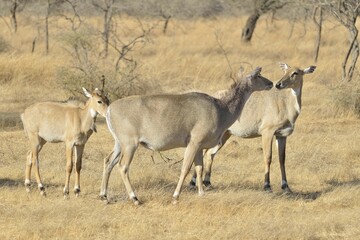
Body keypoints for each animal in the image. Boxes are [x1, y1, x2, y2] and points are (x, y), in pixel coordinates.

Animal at [98, 67, 272, 204]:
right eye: (258, 75)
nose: (271, 83)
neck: (220, 108)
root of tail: (110, 109)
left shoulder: (200, 148)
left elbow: (199, 168)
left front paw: (201, 193)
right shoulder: (193, 144)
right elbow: (185, 168)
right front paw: (175, 196)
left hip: (119, 144)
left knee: (108, 162)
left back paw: (104, 196)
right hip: (130, 145)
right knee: (123, 167)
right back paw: (135, 198)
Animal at [190, 62, 316, 192]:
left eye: (295, 73)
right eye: (285, 71)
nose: (278, 84)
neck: (285, 105)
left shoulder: (282, 135)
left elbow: (282, 159)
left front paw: (286, 186)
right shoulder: (267, 132)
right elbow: (268, 157)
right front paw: (267, 186)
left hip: (225, 135)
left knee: (209, 153)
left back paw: (206, 182)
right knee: (204, 152)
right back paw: (194, 183)